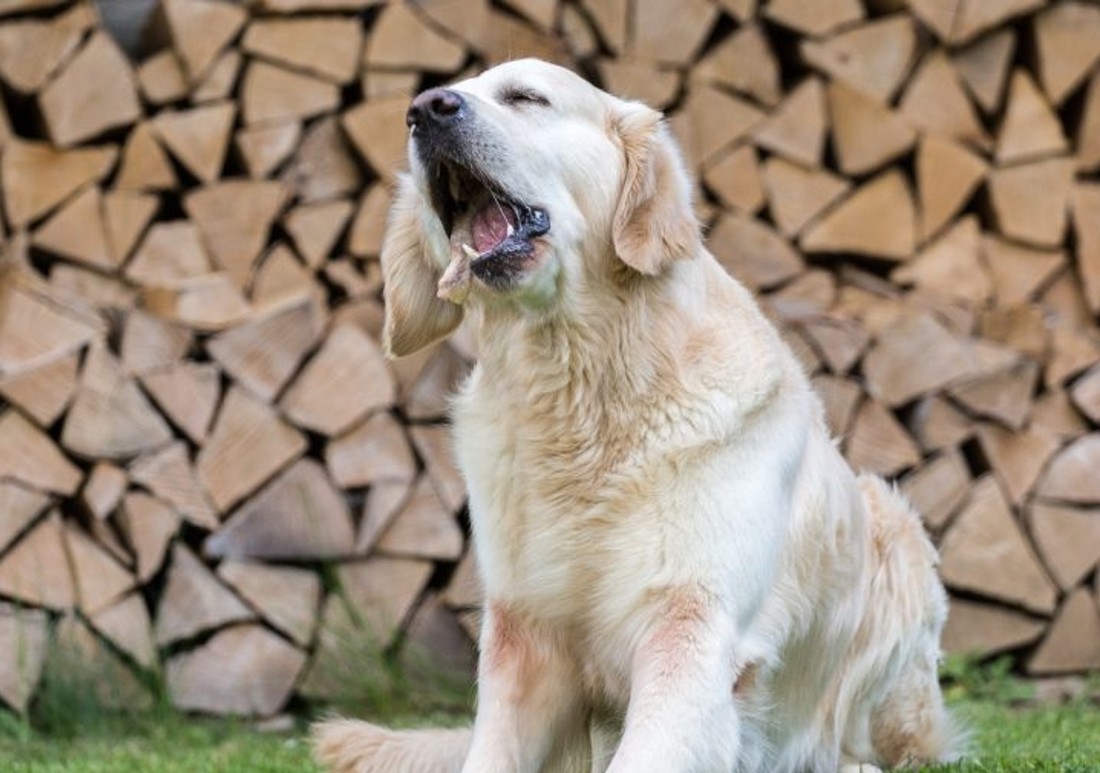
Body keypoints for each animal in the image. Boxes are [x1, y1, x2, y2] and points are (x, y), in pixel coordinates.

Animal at [312, 58, 963, 773]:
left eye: (526, 96)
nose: (425, 110)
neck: (584, 392)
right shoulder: (524, 635)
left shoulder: (691, 626)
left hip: (895, 534)